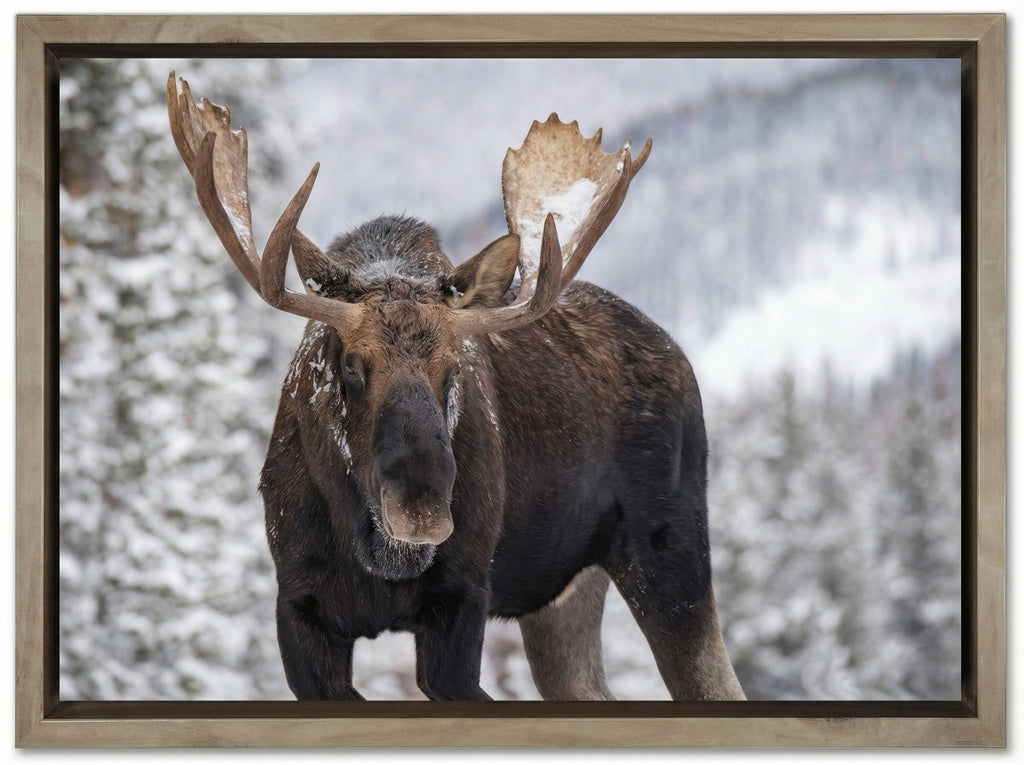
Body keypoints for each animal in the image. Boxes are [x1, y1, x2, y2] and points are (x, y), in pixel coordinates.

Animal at [166, 72, 745, 702]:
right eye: (351, 364)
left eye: (454, 367)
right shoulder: (298, 610)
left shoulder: (462, 603)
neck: (379, 561)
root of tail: (678, 353)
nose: (422, 508)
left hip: (670, 549)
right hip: (562, 594)